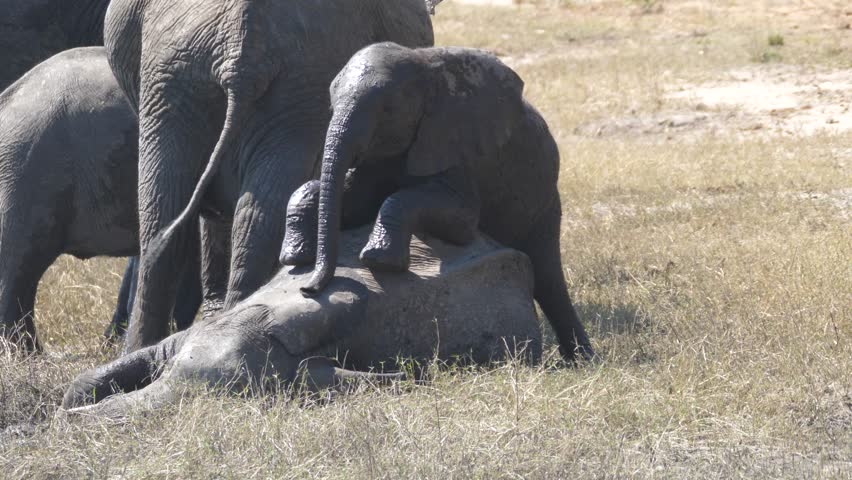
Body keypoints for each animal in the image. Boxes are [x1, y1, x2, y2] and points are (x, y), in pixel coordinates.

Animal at [283, 42, 595, 362]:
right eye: (331, 106)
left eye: (387, 110)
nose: (308, 289)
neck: (423, 64)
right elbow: (349, 201)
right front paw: (294, 256)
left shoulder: (453, 144)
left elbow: (460, 221)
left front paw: (378, 259)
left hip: (544, 199)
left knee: (547, 276)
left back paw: (580, 360)